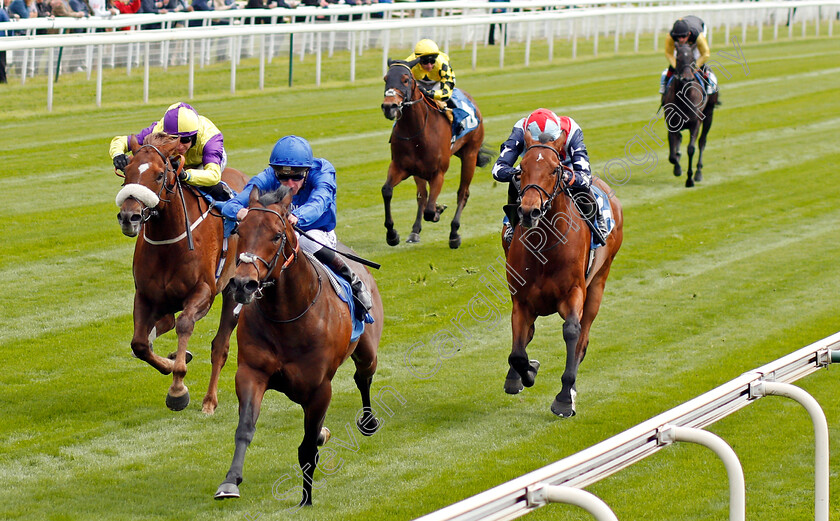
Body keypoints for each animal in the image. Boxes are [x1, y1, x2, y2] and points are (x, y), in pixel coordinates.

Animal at [115, 134, 248, 414]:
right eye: (127, 171)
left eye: (158, 175)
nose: (129, 217)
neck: (168, 244)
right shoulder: (144, 295)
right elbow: (139, 344)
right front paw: (172, 361)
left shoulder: (203, 291)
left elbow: (185, 324)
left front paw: (177, 389)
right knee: (163, 325)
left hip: (234, 289)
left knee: (220, 347)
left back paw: (209, 401)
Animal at [213, 187, 384, 504]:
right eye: (240, 230)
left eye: (277, 235)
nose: (243, 284)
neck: (286, 316)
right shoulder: (251, 372)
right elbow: (245, 428)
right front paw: (230, 482)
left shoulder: (319, 389)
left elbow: (307, 448)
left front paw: (306, 499)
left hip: (367, 350)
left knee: (363, 376)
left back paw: (368, 422)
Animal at [380, 58, 492, 249]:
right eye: (386, 79)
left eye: (405, 80)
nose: (389, 107)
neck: (416, 130)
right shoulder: (401, 167)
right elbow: (387, 191)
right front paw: (392, 234)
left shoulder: (438, 173)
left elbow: (430, 210)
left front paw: (438, 211)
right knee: (422, 196)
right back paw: (415, 231)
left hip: (470, 154)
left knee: (463, 193)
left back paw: (454, 233)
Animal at [498, 131, 624, 418]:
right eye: (521, 168)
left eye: (555, 169)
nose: (529, 211)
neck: (544, 248)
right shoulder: (521, 301)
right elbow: (518, 352)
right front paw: (525, 373)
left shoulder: (574, 293)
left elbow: (572, 333)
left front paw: (565, 397)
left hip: (599, 282)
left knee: (583, 337)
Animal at [660, 42, 720, 188]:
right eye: (678, 58)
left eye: (692, 58)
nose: (687, 78)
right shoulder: (671, 124)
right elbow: (672, 156)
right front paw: (677, 168)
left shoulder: (695, 124)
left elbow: (691, 149)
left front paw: (690, 179)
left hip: (709, 114)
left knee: (702, 142)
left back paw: (698, 172)